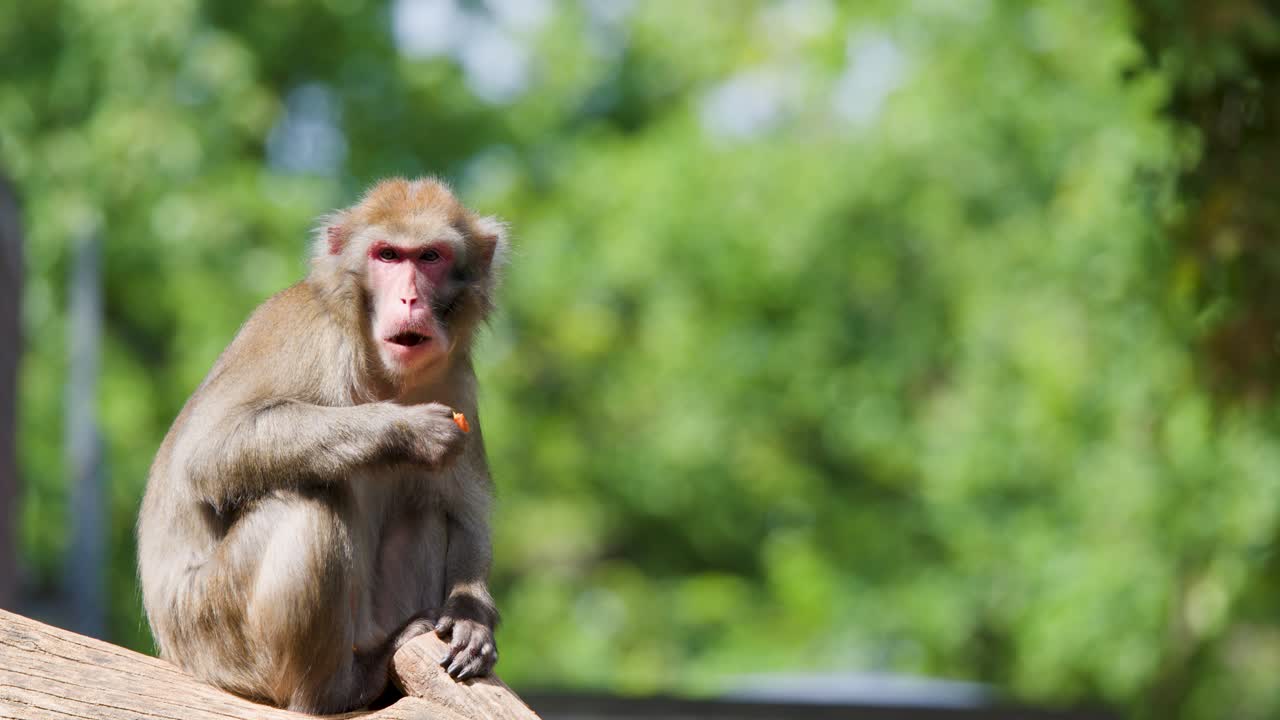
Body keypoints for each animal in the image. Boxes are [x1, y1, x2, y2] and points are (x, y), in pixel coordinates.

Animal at [137, 178, 507, 714]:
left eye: (430, 257)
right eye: (388, 255)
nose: (410, 299)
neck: (382, 371)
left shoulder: (455, 379)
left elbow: (465, 512)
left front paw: (470, 615)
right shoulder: (305, 331)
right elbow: (208, 453)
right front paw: (406, 429)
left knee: (426, 511)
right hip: (212, 629)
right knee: (309, 503)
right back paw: (338, 690)